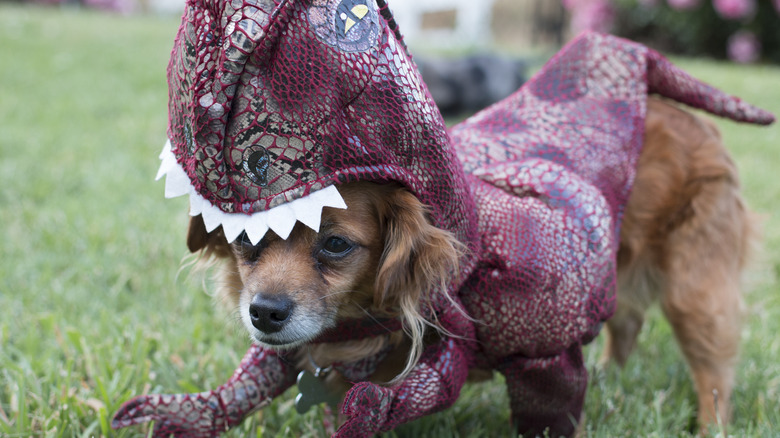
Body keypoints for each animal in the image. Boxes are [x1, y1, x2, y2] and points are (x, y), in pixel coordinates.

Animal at [184, 97, 756, 432]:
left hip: (695, 294)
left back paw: (710, 425)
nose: (264, 312)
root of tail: (688, 118)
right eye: (244, 239)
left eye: (336, 245)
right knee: (630, 321)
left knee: (714, 375)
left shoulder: (540, 362)